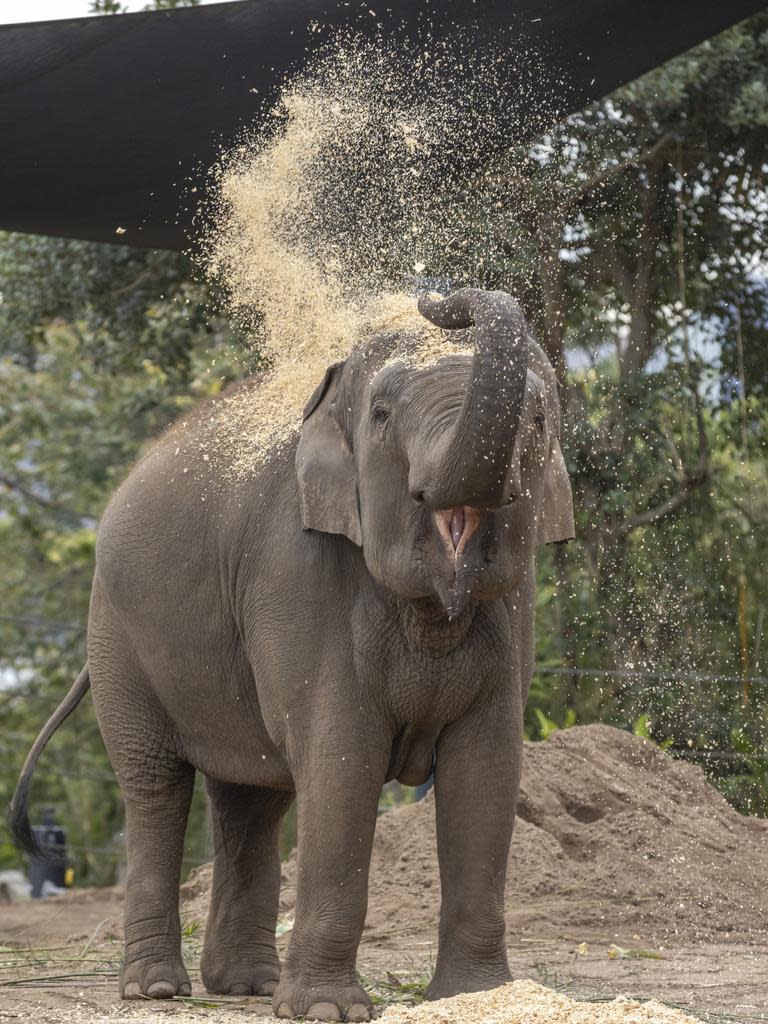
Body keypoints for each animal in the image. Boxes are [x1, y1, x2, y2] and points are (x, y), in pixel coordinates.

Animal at [9, 286, 573, 1015]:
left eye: (539, 417)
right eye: (382, 416)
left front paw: (477, 997)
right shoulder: (294, 573)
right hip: (116, 636)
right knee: (156, 786)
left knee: (252, 798)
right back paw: (157, 988)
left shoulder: (515, 601)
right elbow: (341, 760)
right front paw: (330, 1011)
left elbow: (488, 768)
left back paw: (248, 985)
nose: (440, 296)